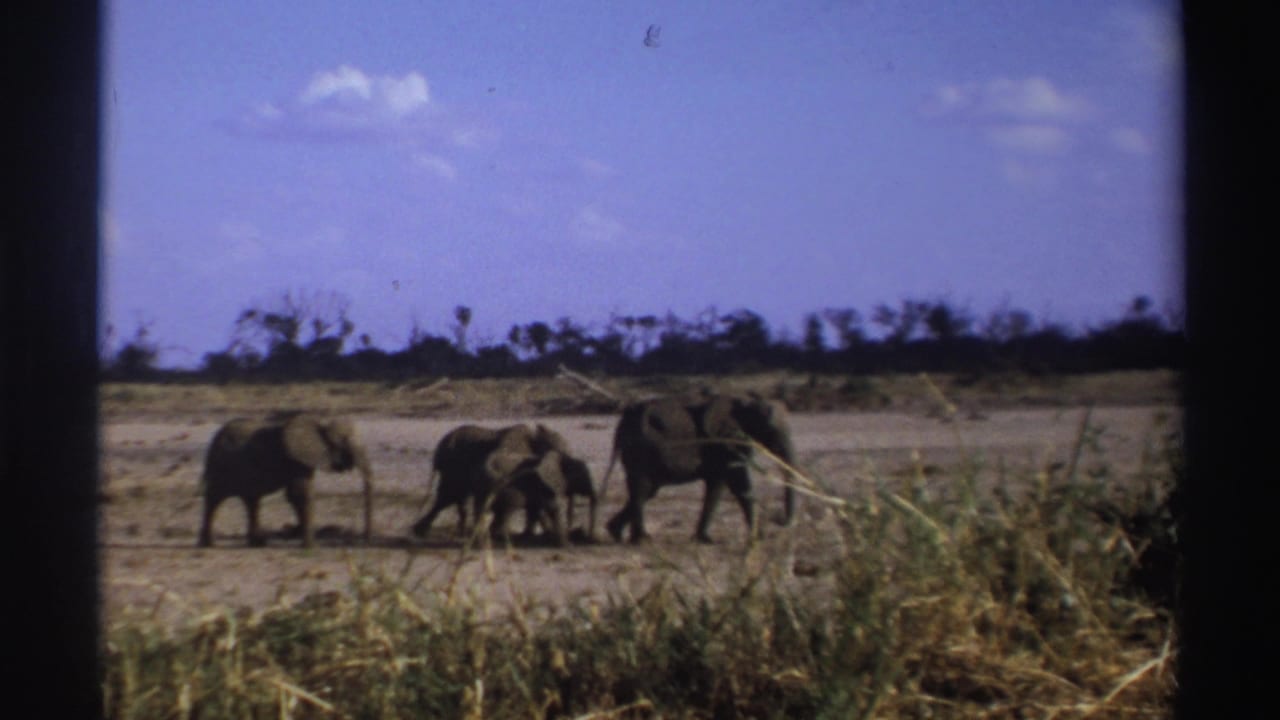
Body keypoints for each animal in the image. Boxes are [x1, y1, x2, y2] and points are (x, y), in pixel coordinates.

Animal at [198, 413, 374, 548]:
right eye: (345, 442)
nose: (364, 541)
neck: (320, 424)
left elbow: (294, 496)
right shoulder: (296, 460)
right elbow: (299, 494)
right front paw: (311, 546)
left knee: (251, 501)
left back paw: (258, 543)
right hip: (222, 467)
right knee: (215, 499)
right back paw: (208, 545)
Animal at [602, 393, 797, 544]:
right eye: (771, 430)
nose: (779, 519)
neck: (746, 403)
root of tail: (623, 420)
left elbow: (717, 487)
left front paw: (704, 539)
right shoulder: (726, 441)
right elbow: (740, 484)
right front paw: (760, 537)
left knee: (648, 491)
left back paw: (616, 533)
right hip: (641, 449)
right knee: (642, 489)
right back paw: (642, 540)